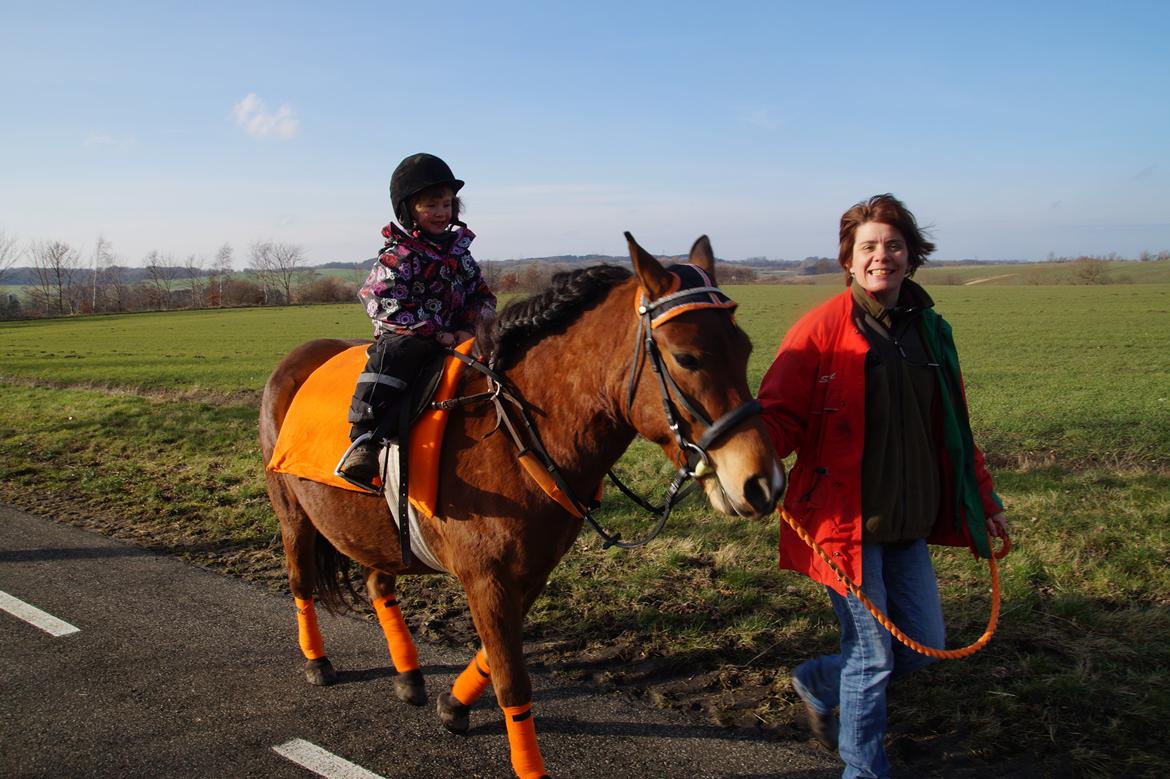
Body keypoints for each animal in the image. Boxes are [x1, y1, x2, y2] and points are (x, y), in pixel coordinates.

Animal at [260, 235, 781, 776]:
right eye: (687, 357)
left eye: (744, 349)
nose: (761, 481)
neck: (516, 433)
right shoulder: (486, 576)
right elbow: (512, 680)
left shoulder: (531, 571)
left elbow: (494, 657)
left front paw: (454, 704)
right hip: (293, 515)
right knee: (301, 582)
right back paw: (317, 661)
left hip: (378, 532)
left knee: (378, 584)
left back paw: (409, 675)